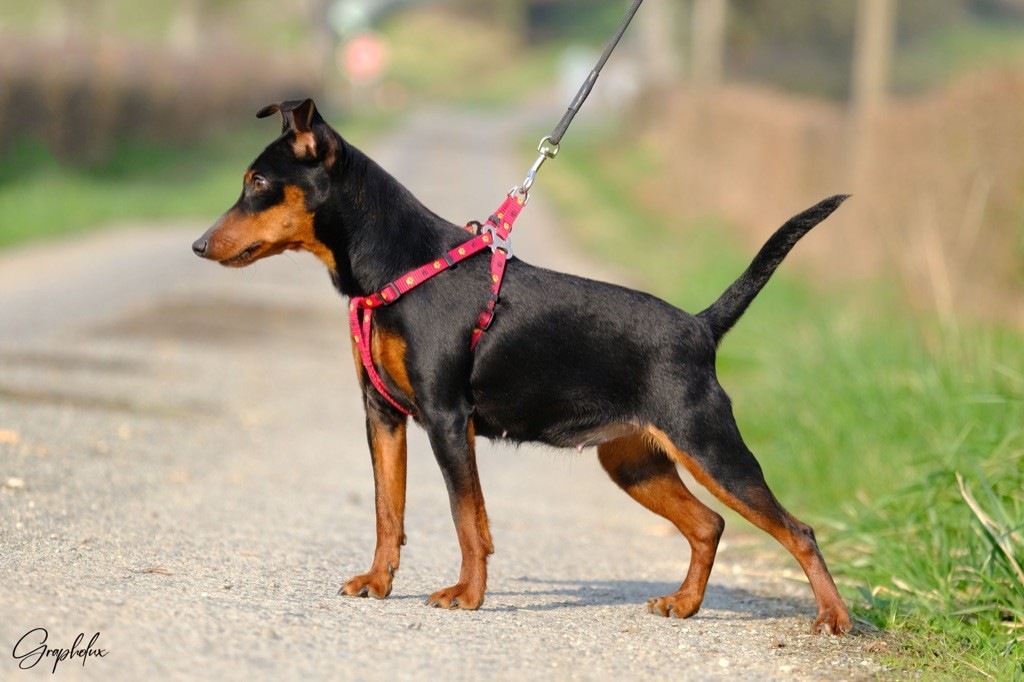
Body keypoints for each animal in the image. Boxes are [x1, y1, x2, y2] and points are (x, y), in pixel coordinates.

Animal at [191, 99, 851, 635]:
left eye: (257, 181)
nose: (199, 245)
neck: (396, 266)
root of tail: (700, 326)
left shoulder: (446, 417)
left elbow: (467, 518)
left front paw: (467, 595)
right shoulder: (382, 415)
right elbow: (387, 509)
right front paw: (378, 583)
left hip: (709, 447)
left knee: (798, 530)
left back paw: (833, 618)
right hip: (633, 462)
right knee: (709, 524)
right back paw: (685, 604)